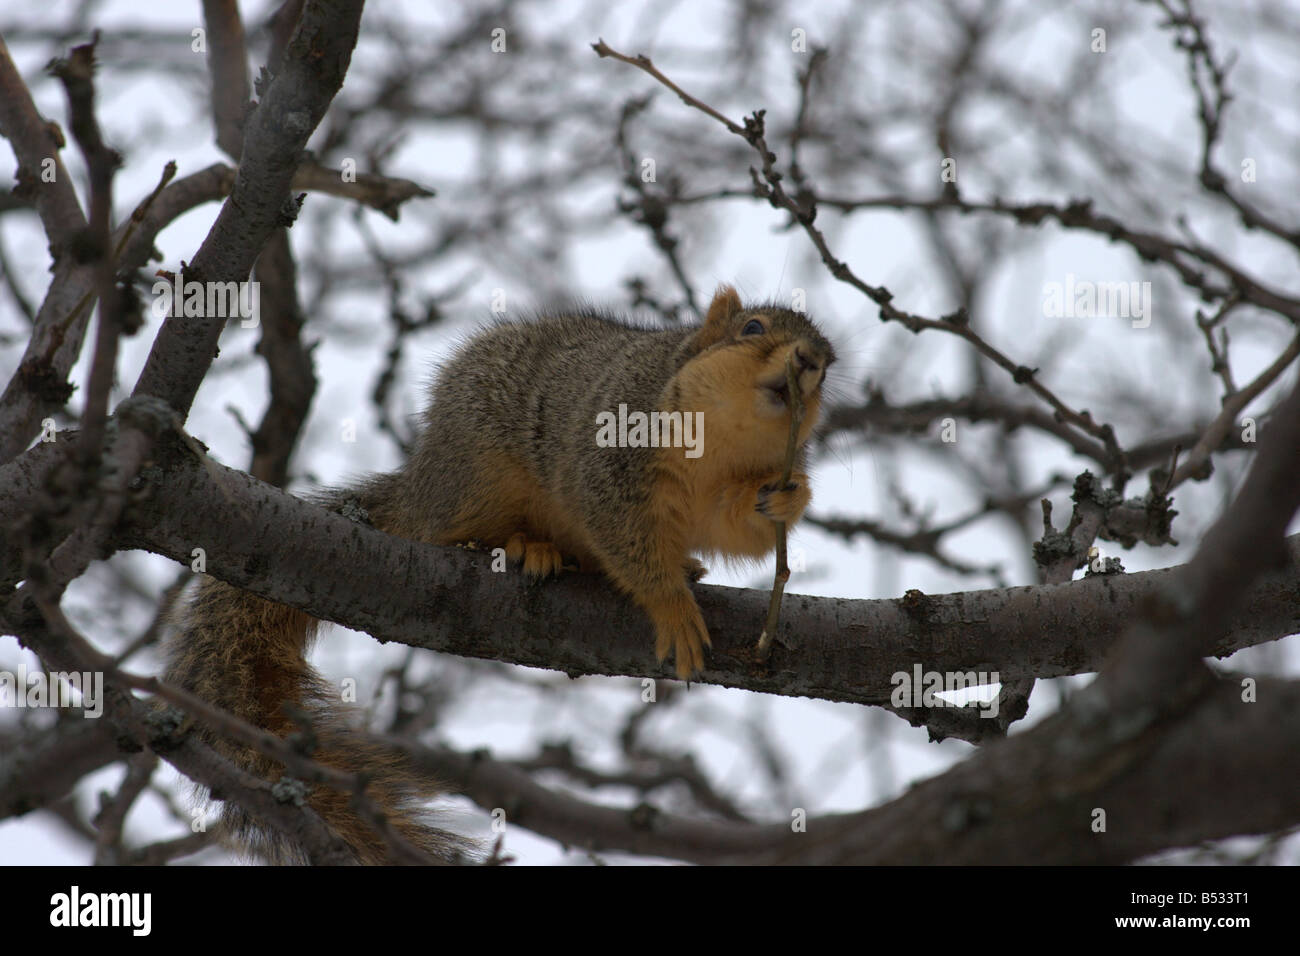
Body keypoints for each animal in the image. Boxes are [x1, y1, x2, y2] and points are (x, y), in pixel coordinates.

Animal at [162, 286, 832, 868]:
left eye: (830, 365)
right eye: (752, 329)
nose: (809, 361)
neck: (720, 441)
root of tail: (420, 480)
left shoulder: (724, 492)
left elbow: (736, 526)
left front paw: (790, 497)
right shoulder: (608, 455)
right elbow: (623, 534)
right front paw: (671, 607)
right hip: (477, 475)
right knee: (444, 533)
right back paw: (521, 546)